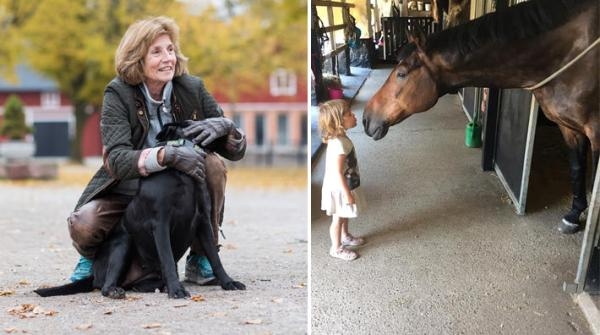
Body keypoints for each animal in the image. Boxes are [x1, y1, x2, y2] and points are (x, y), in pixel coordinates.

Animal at [364, 0, 600, 235]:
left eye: (401, 73)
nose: (366, 118)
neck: (567, 54)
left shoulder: (595, 134)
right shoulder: (569, 128)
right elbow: (577, 170)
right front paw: (573, 216)